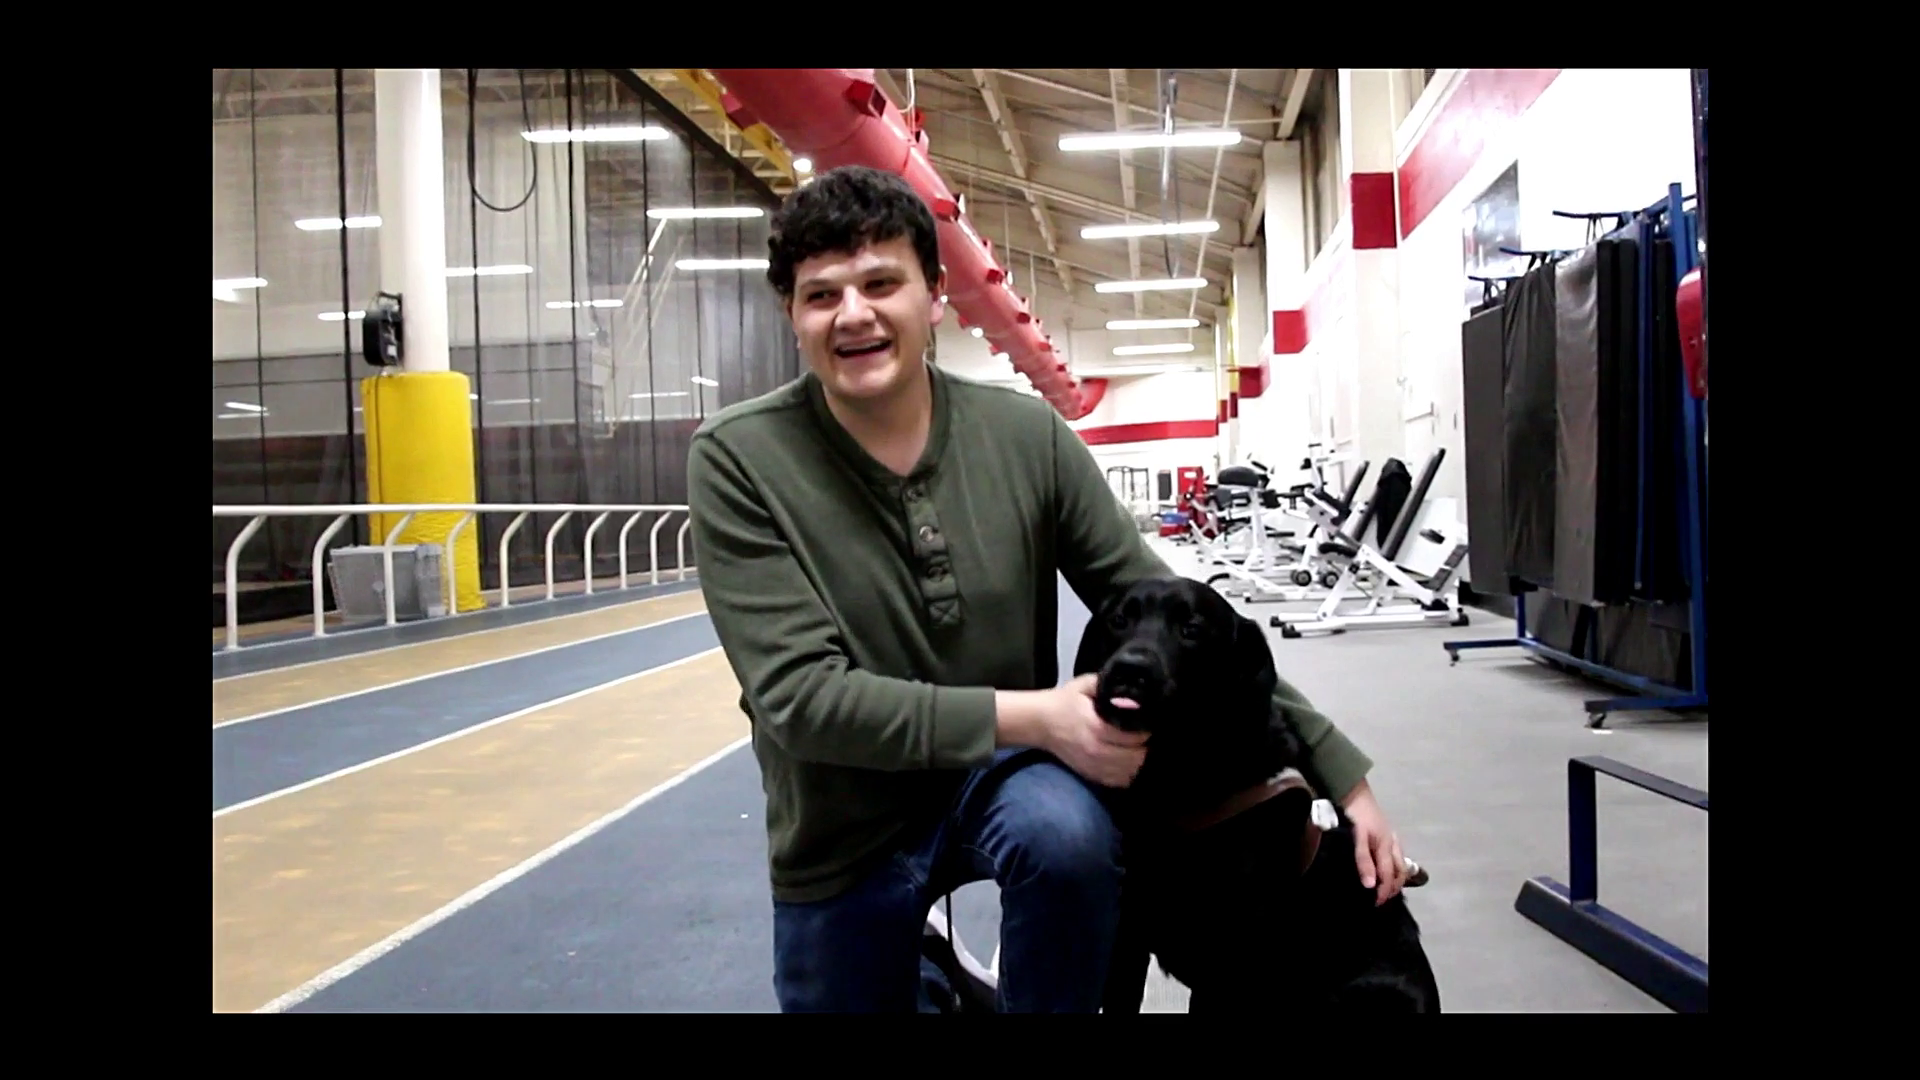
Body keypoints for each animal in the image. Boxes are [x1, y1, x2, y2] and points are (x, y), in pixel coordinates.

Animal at [1082, 576, 1443, 1006]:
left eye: (1192, 629)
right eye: (1118, 620)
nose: (1129, 670)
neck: (1177, 771)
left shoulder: (1230, 958)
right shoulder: (1128, 935)